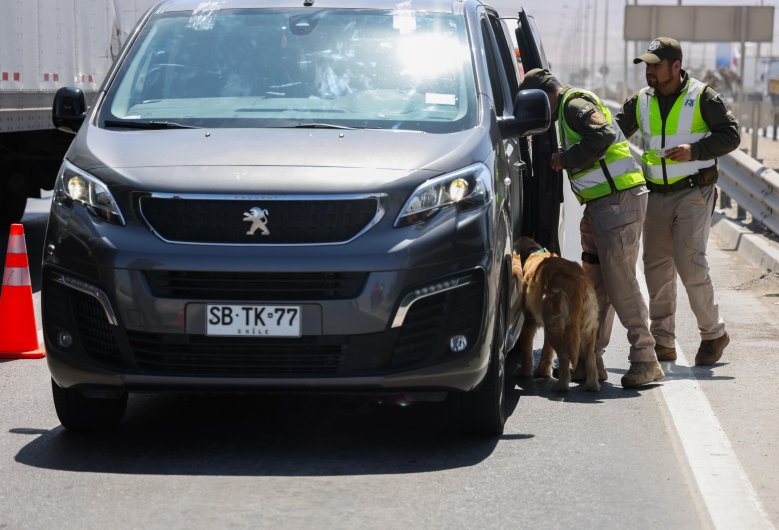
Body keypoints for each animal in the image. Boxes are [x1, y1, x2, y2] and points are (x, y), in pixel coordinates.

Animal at [516, 235, 600, 388]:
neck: (533, 252)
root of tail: (577, 284)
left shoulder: (529, 322)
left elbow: (526, 348)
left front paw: (525, 372)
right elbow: (547, 350)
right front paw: (542, 372)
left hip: (554, 323)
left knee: (564, 356)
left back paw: (561, 386)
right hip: (586, 327)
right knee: (591, 356)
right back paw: (592, 386)